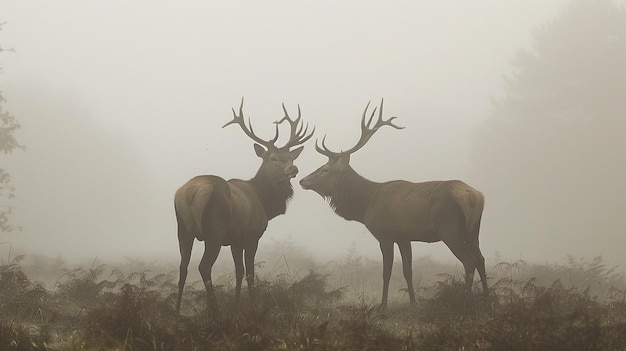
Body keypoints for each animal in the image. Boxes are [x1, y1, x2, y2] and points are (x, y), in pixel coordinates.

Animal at [174, 99, 312, 314]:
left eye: (291, 158)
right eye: (273, 158)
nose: (293, 169)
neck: (265, 202)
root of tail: (190, 194)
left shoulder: (235, 240)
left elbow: (238, 271)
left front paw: (236, 305)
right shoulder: (252, 235)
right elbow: (249, 273)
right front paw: (253, 307)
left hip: (183, 229)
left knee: (182, 267)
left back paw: (177, 311)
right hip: (215, 229)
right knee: (204, 266)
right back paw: (215, 310)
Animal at [300, 100, 486, 310]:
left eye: (324, 169)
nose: (302, 180)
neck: (366, 204)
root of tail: (475, 197)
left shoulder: (385, 234)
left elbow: (386, 272)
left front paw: (382, 305)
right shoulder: (404, 237)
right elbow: (407, 270)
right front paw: (413, 302)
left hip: (449, 229)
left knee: (469, 261)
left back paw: (465, 300)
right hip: (473, 230)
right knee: (481, 259)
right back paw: (488, 298)